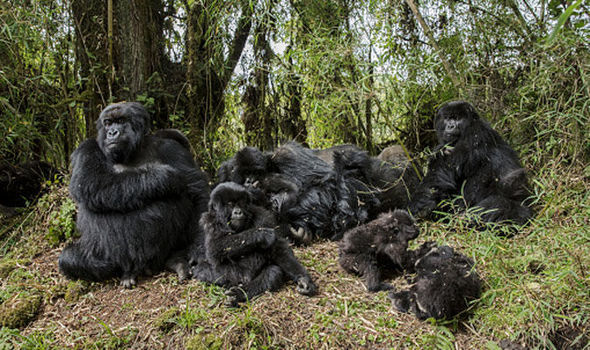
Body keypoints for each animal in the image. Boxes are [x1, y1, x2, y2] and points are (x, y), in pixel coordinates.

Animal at [58, 101, 210, 288]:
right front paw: (163, 177)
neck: (134, 151)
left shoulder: (171, 147)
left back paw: (175, 260)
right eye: (108, 123)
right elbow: (91, 182)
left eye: (121, 120)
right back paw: (127, 272)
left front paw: (199, 249)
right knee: (69, 258)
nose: (112, 132)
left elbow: (197, 190)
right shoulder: (86, 148)